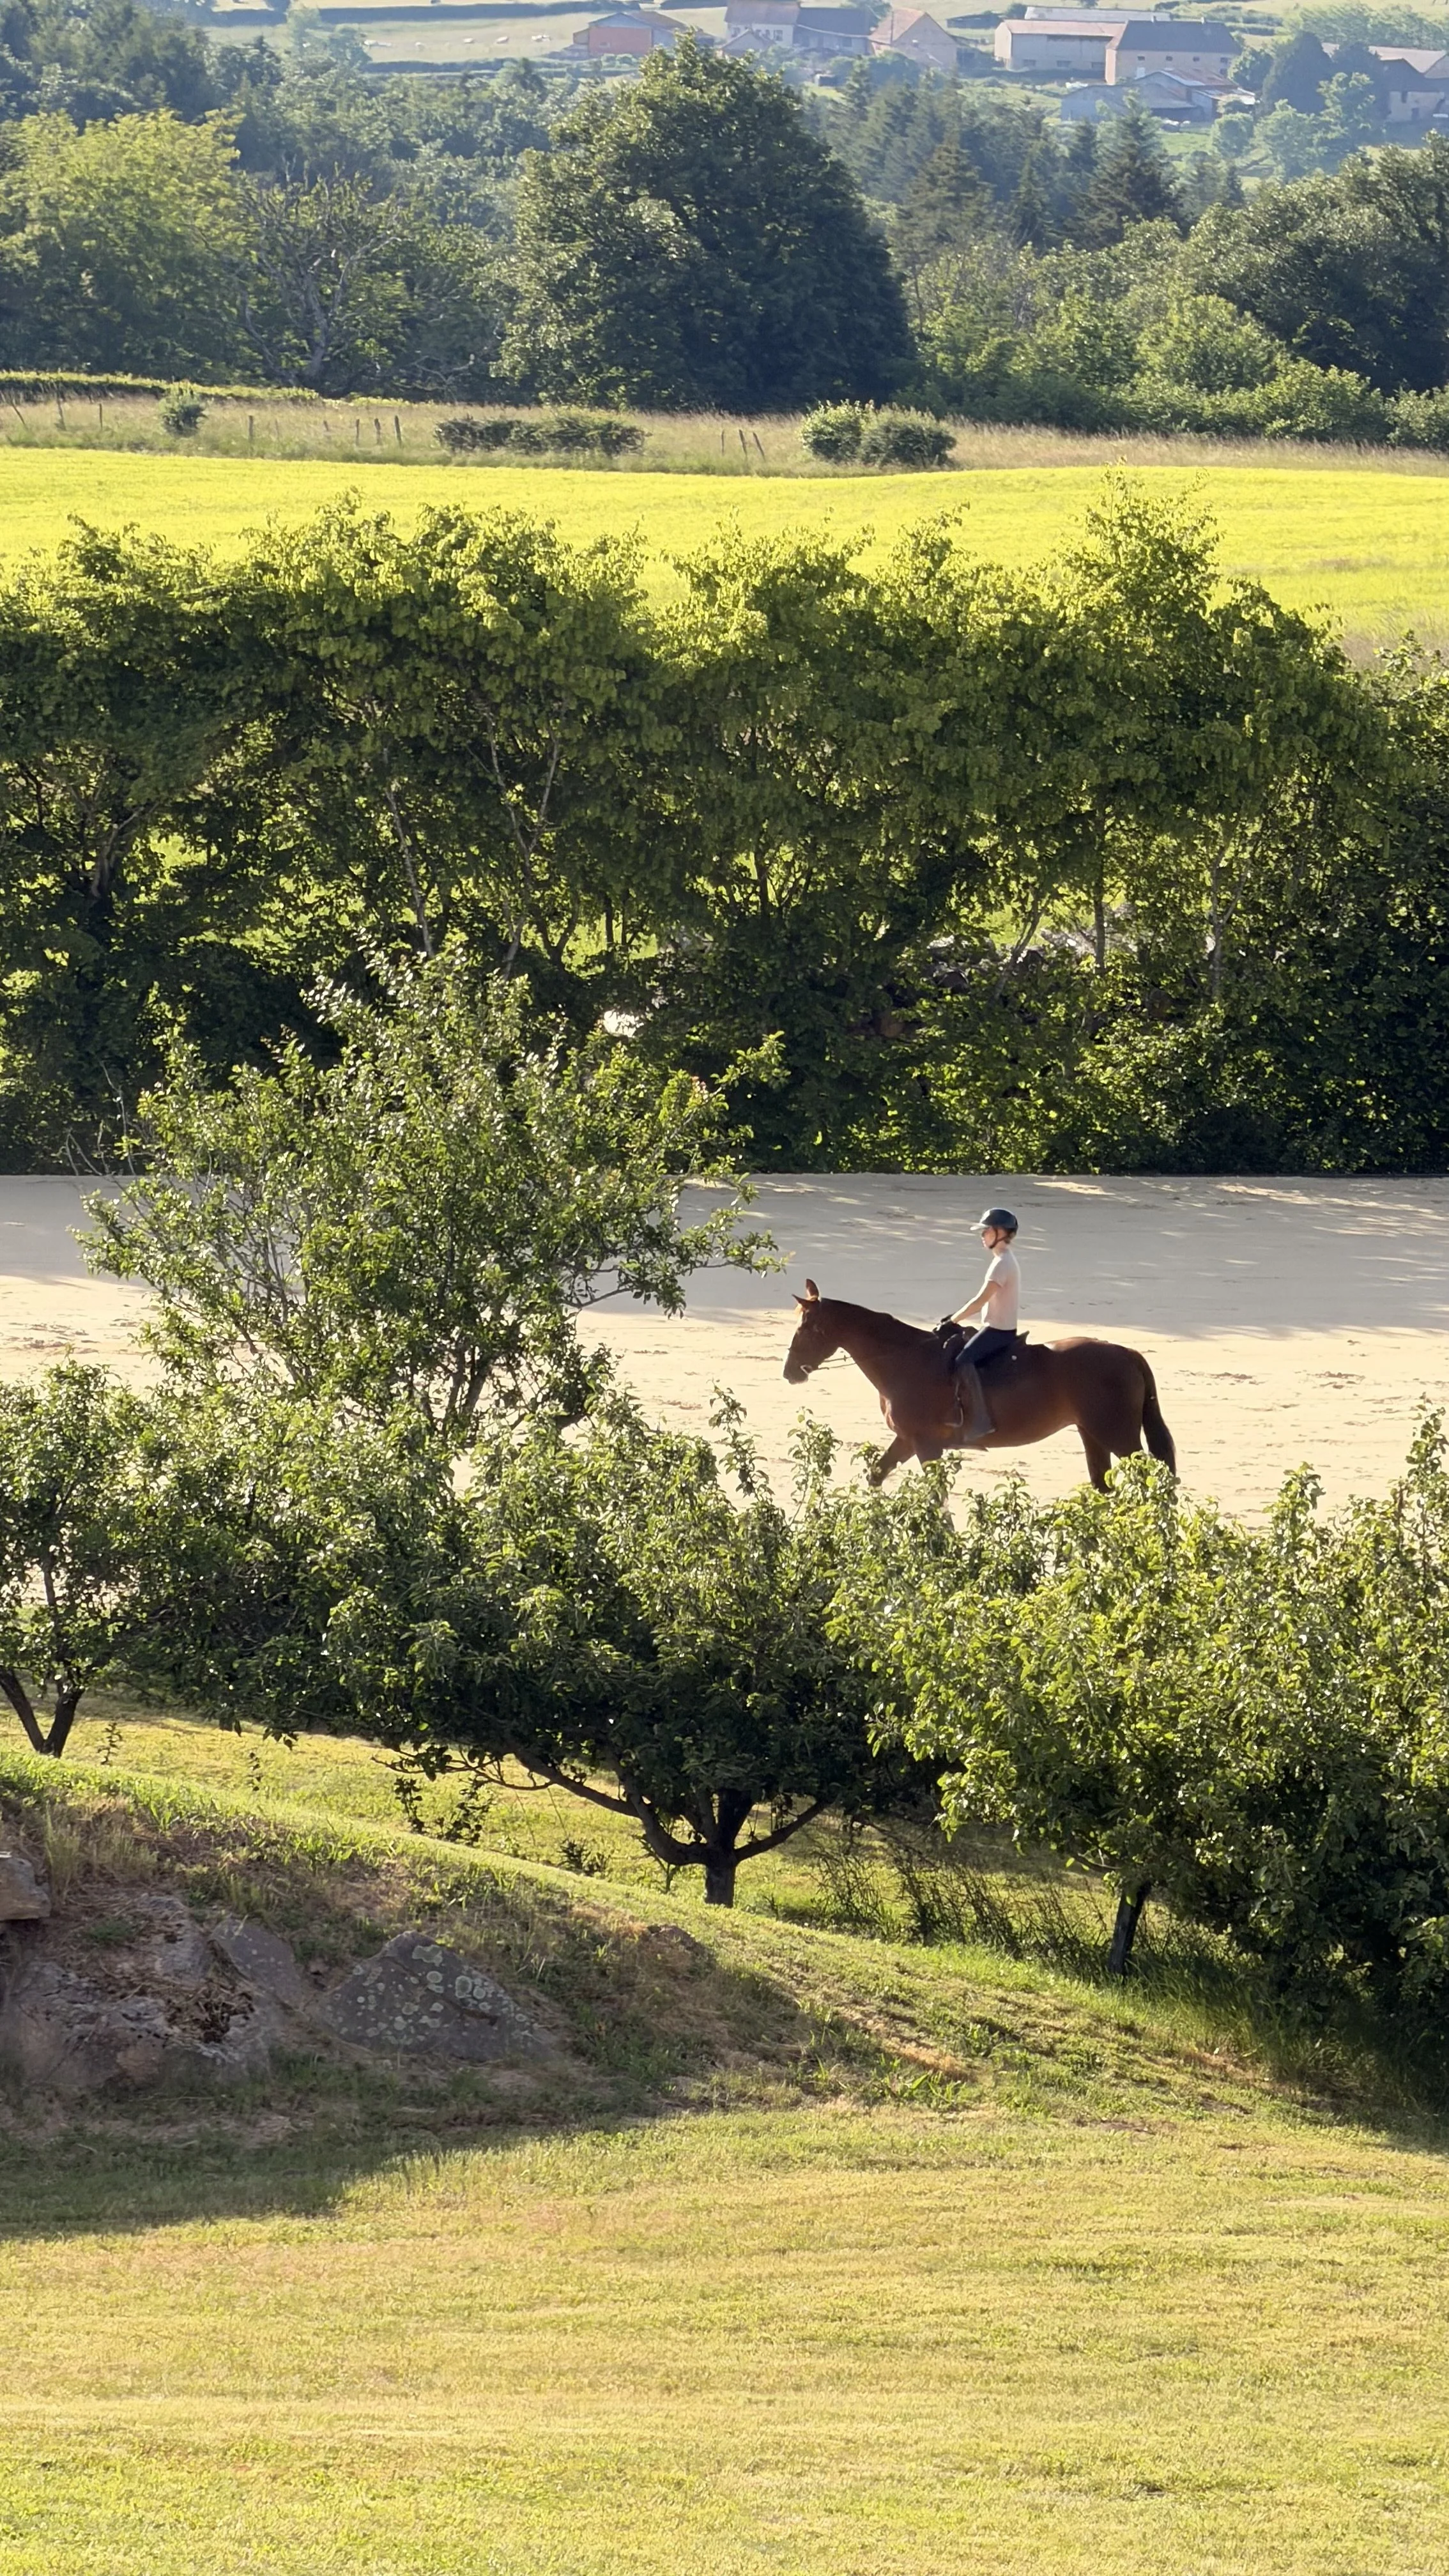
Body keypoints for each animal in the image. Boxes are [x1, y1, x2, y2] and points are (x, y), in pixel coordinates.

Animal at [781, 1280, 1175, 1489]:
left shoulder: (925, 1444)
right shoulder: (908, 1440)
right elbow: (876, 1476)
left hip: (1118, 1435)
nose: (790, 1372)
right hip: (1092, 1434)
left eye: (805, 1328)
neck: (905, 1360)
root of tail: (1126, 1352)